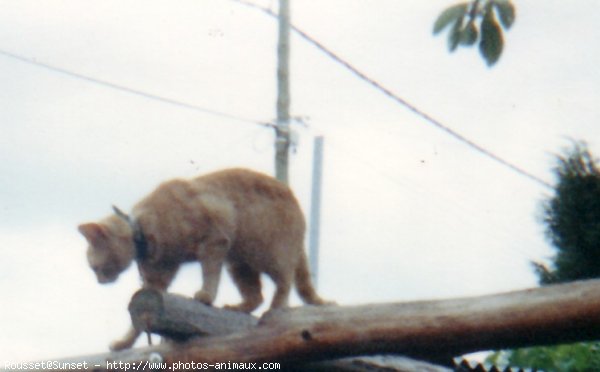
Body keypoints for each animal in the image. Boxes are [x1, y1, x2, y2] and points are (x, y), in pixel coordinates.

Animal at [79, 169, 328, 352]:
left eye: (95, 267)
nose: (100, 280)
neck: (144, 228)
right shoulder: (157, 279)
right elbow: (137, 321)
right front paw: (123, 343)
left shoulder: (215, 241)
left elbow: (209, 273)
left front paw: (205, 296)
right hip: (239, 264)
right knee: (256, 295)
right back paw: (238, 307)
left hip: (269, 255)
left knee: (284, 283)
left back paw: (275, 309)